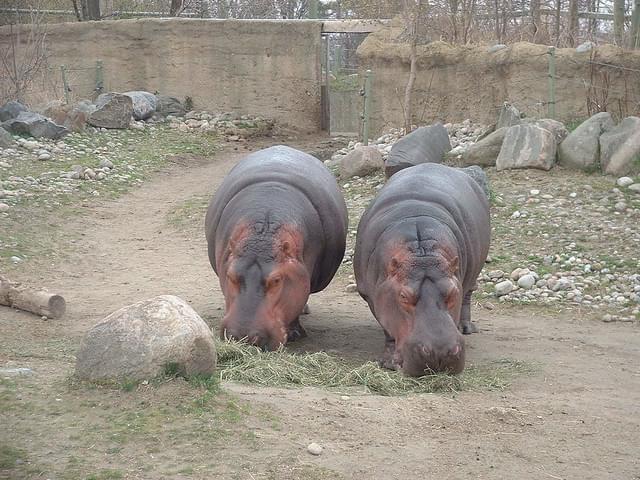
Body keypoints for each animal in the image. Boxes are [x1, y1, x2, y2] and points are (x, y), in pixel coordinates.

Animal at [356, 163, 490, 376]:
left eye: (453, 292)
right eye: (403, 296)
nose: (440, 352)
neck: (420, 251)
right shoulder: (374, 296)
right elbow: (388, 329)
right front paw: (389, 363)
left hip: (475, 272)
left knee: (469, 295)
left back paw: (466, 327)